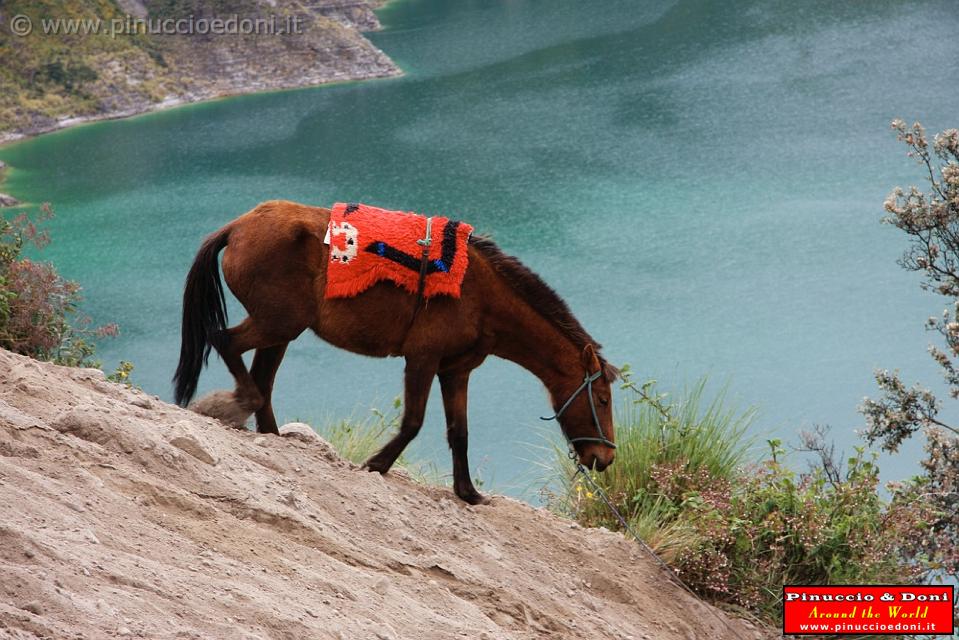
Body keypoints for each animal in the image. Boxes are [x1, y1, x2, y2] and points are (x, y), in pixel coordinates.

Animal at [175, 200, 620, 504]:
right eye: (601, 399)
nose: (605, 457)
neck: (481, 296)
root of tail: (237, 226)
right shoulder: (422, 359)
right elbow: (413, 423)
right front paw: (377, 464)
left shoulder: (456, 370)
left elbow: (459, 432)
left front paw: (468, 493)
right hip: (277, 323)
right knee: (226, 344)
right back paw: (236, 403)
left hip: (280, 331)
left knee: (263, 380)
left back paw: (269, 432)